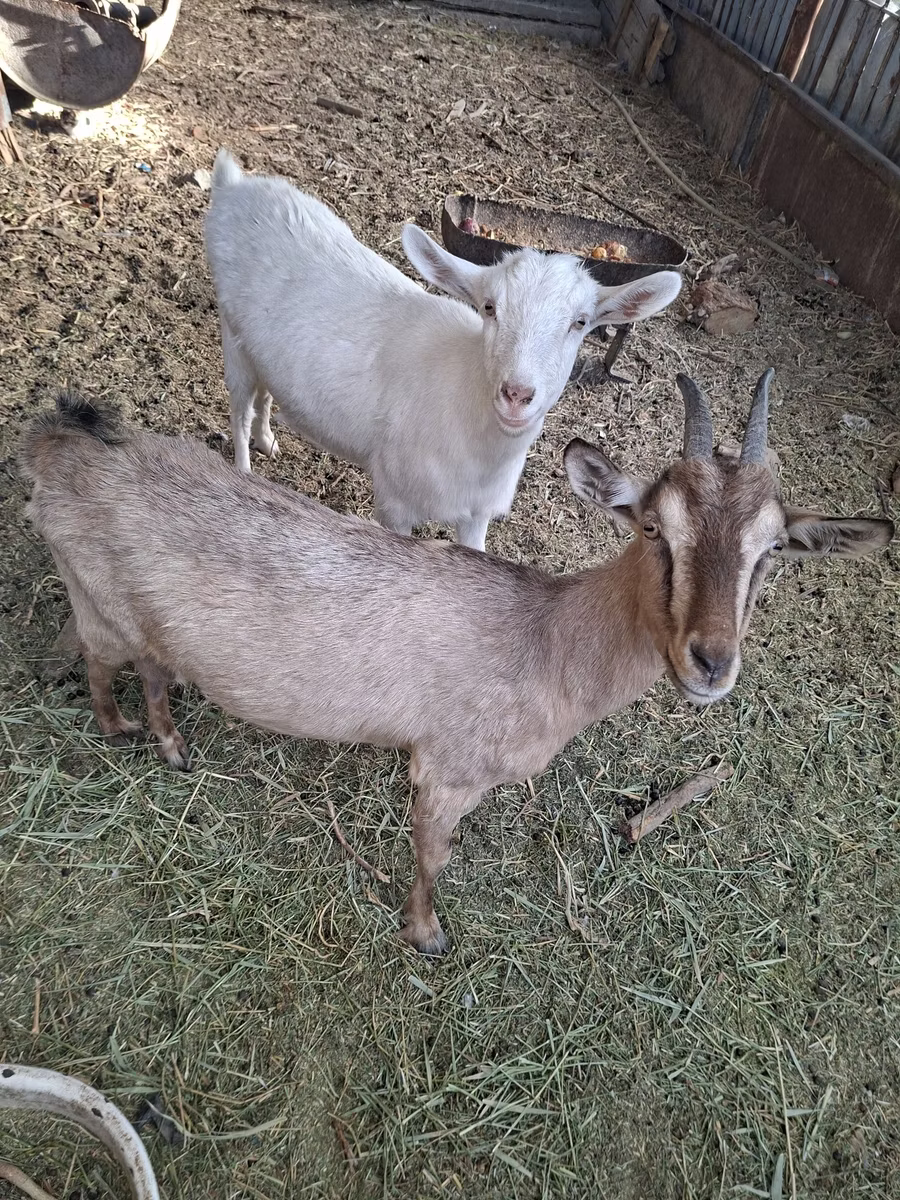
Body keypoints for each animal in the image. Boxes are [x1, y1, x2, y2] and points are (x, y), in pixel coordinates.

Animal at [20, 374, 892, 953]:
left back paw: (172, 746)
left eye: (771, 553)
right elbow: (434, 854)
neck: (549, 641)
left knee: (155, 668)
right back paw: (119, 730)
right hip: (97, 601)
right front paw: (427, 933)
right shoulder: (450, 769)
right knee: (100, 663)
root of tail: (61, 443)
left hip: (146, 618)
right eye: (653, 527)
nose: (709, 662)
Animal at [203, 149, 682, 550]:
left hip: (261, 348)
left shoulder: (477, 513)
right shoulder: (395, 500)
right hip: (230, 331)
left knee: (265, 389)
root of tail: (234, 186)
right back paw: (244, 468)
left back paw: (268, 440)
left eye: (580, 323)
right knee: (239, 407)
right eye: (489, 307)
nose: (517, 394)